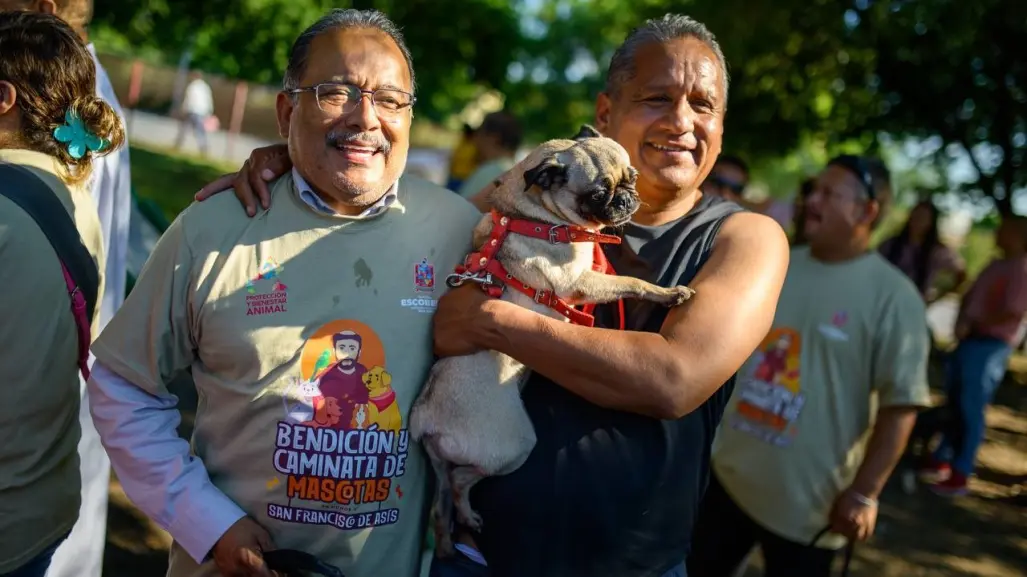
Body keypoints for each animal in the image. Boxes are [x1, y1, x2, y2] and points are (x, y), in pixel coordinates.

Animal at [404, 124, 694, 554]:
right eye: (597, 194)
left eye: (632, 177)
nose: (626, 198)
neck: (535, 216)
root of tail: (426, 415)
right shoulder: (580, 282)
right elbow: (632, 283)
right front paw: (669, 293)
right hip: (515, 447)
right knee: (460, 481)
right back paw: (469, 514)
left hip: (439, 466)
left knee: (443, 502)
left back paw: (451, 533)